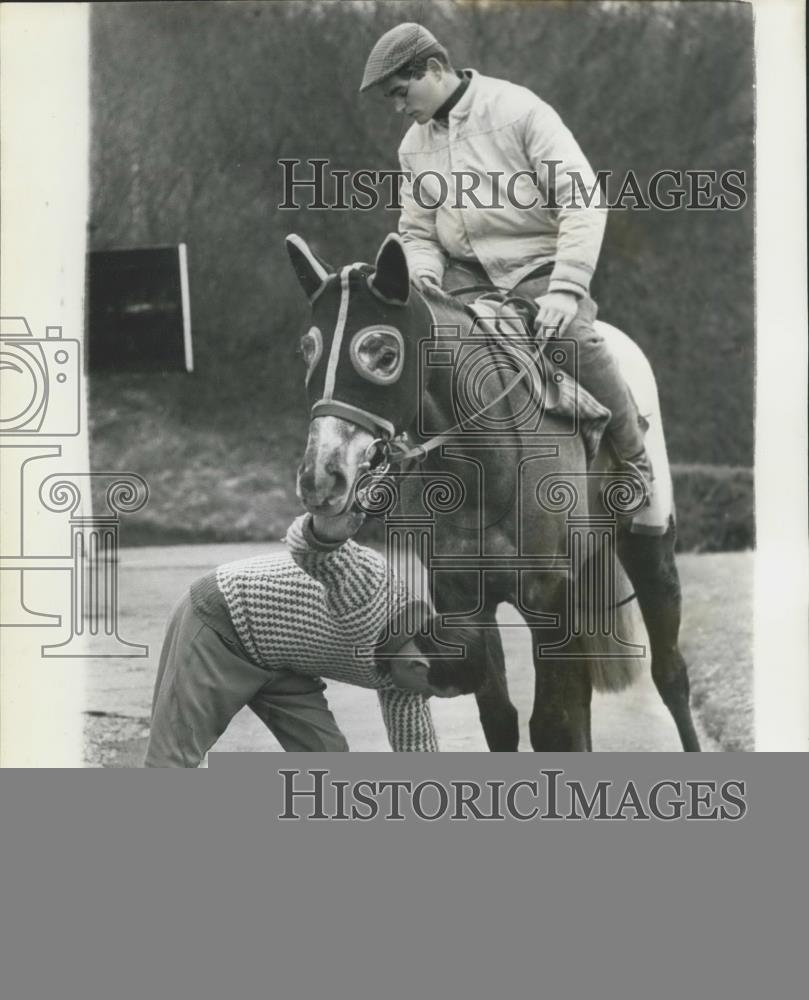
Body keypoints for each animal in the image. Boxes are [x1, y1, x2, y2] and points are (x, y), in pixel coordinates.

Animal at [286, 232, 700, 752]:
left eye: (383, 353)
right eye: (308, 350)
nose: (322, 477)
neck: (483, 474)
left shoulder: (549, 596)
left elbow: (553, 723)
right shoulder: (462, 596)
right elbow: (497, 711)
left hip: (652, 553)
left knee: (670, 674)